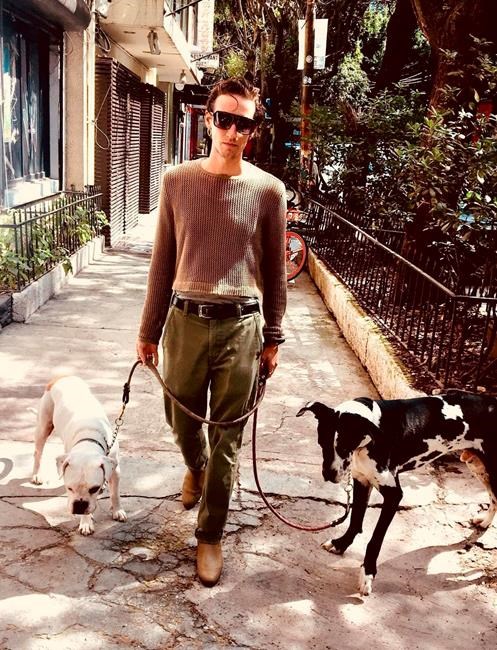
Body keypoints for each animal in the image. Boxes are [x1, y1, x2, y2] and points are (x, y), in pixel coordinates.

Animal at [32, 376, 127, 535]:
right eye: (69, 488)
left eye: (94, 489)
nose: (79, 506)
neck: (89, 438)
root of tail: (62, 376)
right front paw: (86, 522)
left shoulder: (115, 470)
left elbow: (115, 494)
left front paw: (117, 510)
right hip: (44, 426)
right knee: (38, 452)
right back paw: (37, 475)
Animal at [297, 391, 497, 595]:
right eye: (321, 443)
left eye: (345, 446)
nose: (329, 475)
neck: (371, 434)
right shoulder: (362, 481)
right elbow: (355, 522)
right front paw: (341, 544)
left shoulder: (393, 496)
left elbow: (375, 540)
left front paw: (367, 573)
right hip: (478, 466)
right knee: (494, 498)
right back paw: (485, 521)